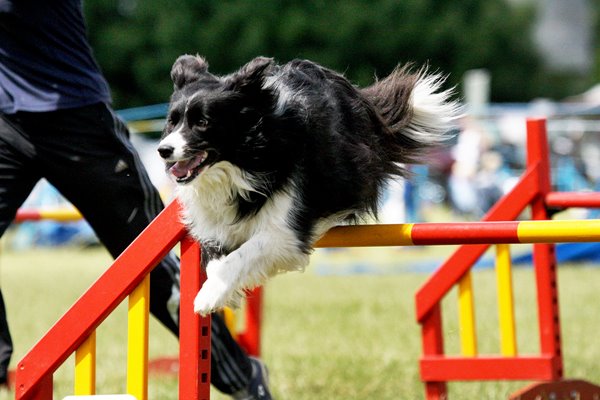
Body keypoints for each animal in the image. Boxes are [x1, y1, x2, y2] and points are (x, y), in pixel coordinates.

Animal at [157, 55, 458, 316]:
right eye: (172, 121)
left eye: (203, 122)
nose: (163, 150)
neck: (245, 160)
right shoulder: (215, 224)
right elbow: (217, 259)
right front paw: (225, 293)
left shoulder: (285, 230)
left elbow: (244, 254)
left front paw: (208, 296)